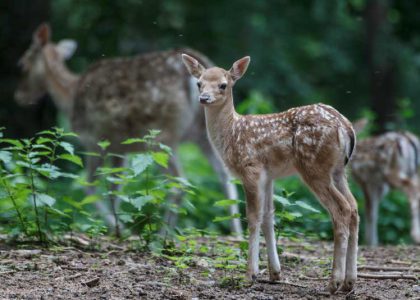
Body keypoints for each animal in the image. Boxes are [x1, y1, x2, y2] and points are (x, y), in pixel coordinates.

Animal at [14, 22, 243, 234]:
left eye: (22, 65)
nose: (20, 96)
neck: (69, 97)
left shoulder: (95, 140)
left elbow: (90, 187)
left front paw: (118, 229)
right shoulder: (120, 148)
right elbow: (116, 187)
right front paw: (117, 226)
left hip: (162, 134)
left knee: (180, 182)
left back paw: (163, 235)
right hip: (202, 134)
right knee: (225, 176)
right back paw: (237, 233)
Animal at [182, 52, 360, 294]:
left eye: (223, 85)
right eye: (199, 83)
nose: (204, 98)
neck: (231, 134)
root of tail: (346, 127)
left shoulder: (251, 168)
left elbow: (253, 217)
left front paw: (250, 275)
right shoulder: (269, 175)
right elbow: (268, 216)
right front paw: (275, 273)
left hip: (314, 168)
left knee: (341, 210)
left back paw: (334, 282)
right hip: (339, 171)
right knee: (354, 208)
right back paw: (349, 282)